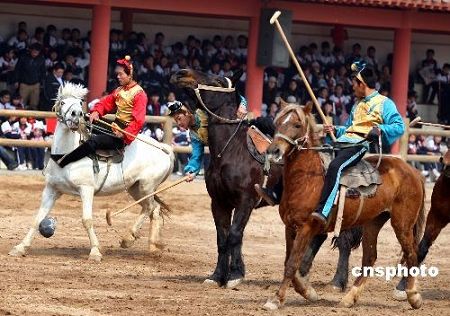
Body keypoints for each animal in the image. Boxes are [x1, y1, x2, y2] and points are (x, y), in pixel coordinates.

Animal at [9, 83, 174, 262]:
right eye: (63, 102)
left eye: (80, 103)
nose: (76, 115)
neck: (66, 156)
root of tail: (164, 149)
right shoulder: (51, 190)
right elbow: (37, 219)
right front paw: (20, 247)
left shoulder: (86, 189)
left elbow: (87, 220)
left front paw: (95, 251)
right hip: (135, 188)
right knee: (152, 209)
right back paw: (150, 246)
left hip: (146, 186)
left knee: (150, 208)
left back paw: (130, 238)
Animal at [264, 102, 426, 312]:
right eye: (277, 123)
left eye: (297, 124)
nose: (273, 151)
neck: (308, 178)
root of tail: (413, 171)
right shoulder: (290, 227)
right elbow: (289, 262)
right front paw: (308, 291)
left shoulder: (306, 227)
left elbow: (292, 264)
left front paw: (276, 299)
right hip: (373, 223)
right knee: (369, 258)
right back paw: (350, 298)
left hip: (402, 224)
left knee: (411, 254)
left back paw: (413, 295)